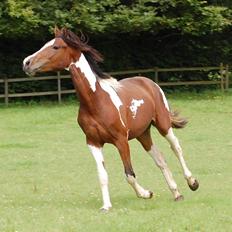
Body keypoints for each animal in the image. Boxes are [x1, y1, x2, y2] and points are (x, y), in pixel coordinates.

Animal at [22, 28, 198, 211]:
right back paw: (176, 194)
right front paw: (106, 206)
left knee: (176, 147)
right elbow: (102, 175)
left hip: (163, 124)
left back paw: (192, 182)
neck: (96, 101)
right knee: (160, 159)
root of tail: (148, 81)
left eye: (56, 46)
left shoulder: (121, 141)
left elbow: (129, 174)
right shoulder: (93, 142)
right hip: (143, 134)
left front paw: (145, 193)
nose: (26, 63)